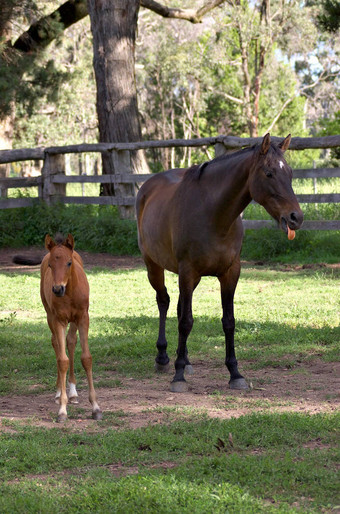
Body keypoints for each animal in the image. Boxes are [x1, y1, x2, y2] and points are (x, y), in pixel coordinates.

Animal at [40, 233, 101, 420]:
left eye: (68, 263)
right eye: (51, 264)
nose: (57, 289)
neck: (69, 292)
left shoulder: (83, 318)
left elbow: (86, 358)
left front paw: (96, 407)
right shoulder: (58, 320)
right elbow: (62, 360)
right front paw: (62, 409)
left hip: (73, 321)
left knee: (71, 341)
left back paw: (73, 392)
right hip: (50, 316)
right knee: (56, 344)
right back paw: (60, 392)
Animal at [137, 134, 304, 390]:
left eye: (291, 173)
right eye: (269, 173)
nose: (296, 217)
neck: (213, 214)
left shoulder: (230, 273)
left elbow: (228, 321)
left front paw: (235, 373)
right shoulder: (188, 271)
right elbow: (186, 322)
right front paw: (178, 376)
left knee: (178, 307)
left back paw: (185, 360)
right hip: (154, 266)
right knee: (164, 302)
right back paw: (163, 358)